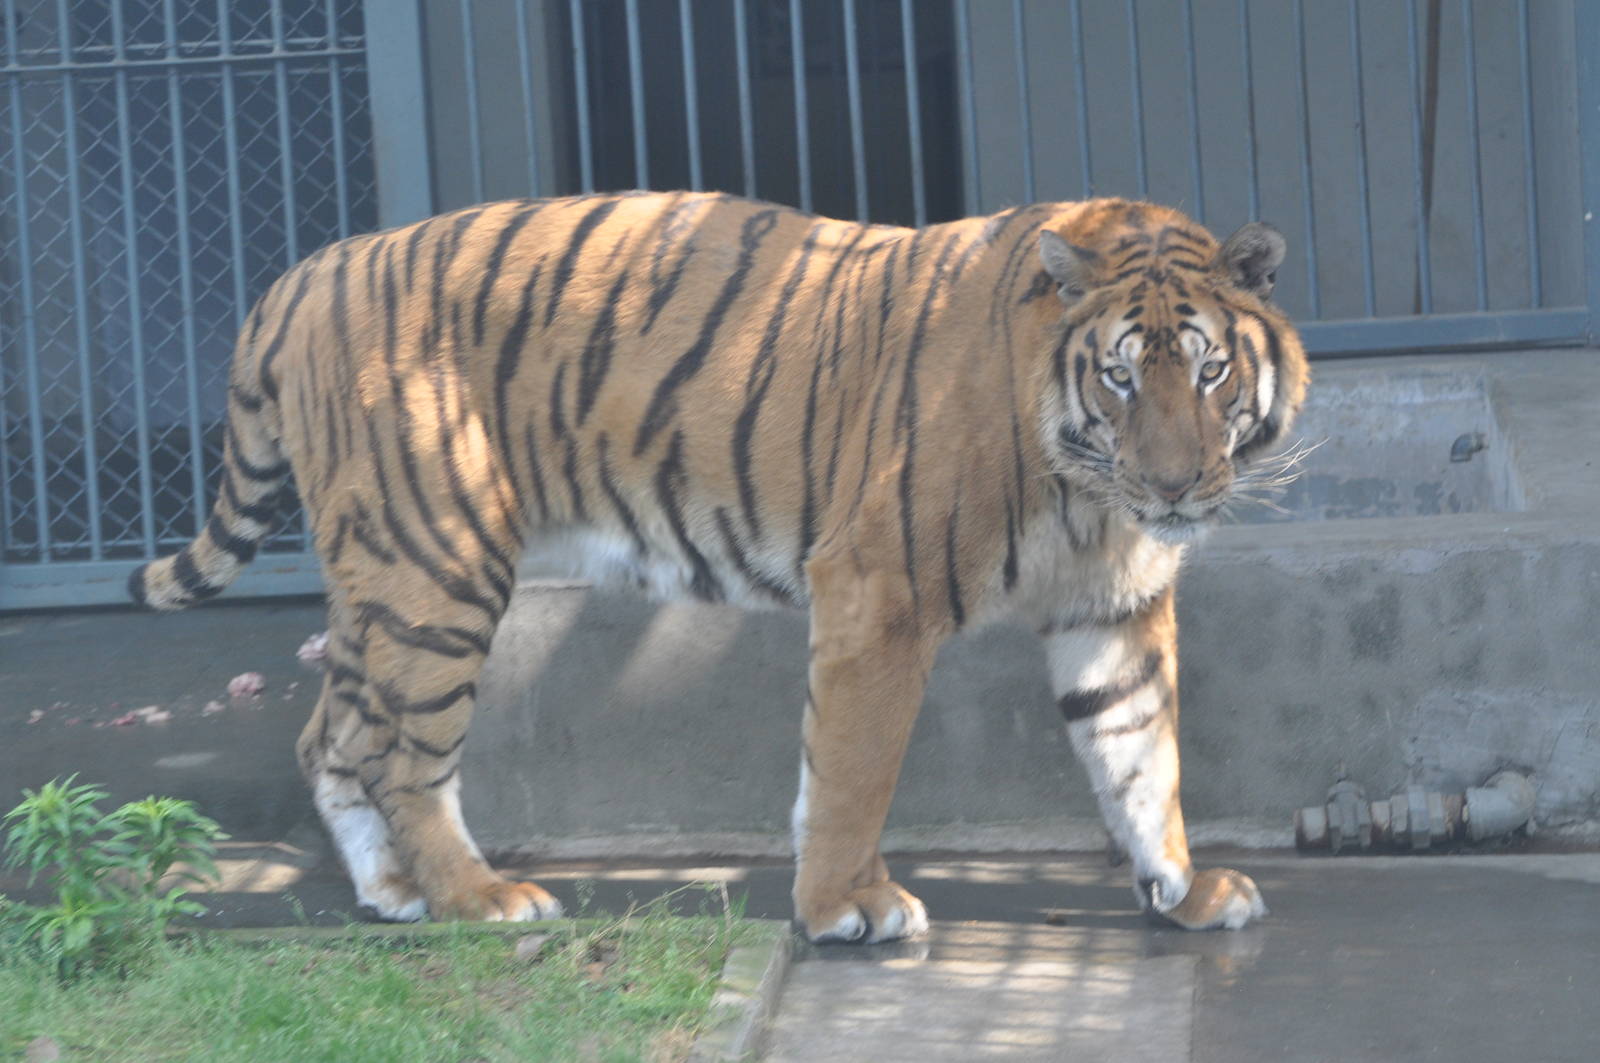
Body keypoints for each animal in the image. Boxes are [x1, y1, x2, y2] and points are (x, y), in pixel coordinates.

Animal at [130, 190, 1307, 941]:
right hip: (437, 570)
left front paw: (1185, 892)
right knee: (402, 756)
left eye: (1209, 373)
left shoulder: (1112, 608)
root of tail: (305, 271)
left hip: (383, 574)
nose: (1172, 489)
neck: (1089, 491)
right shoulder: (878, 591)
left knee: (330, 734)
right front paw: (844, 908)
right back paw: (477, 897)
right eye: (1120, 377)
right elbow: (851, 772)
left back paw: (390, 888)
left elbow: (1139, 758)